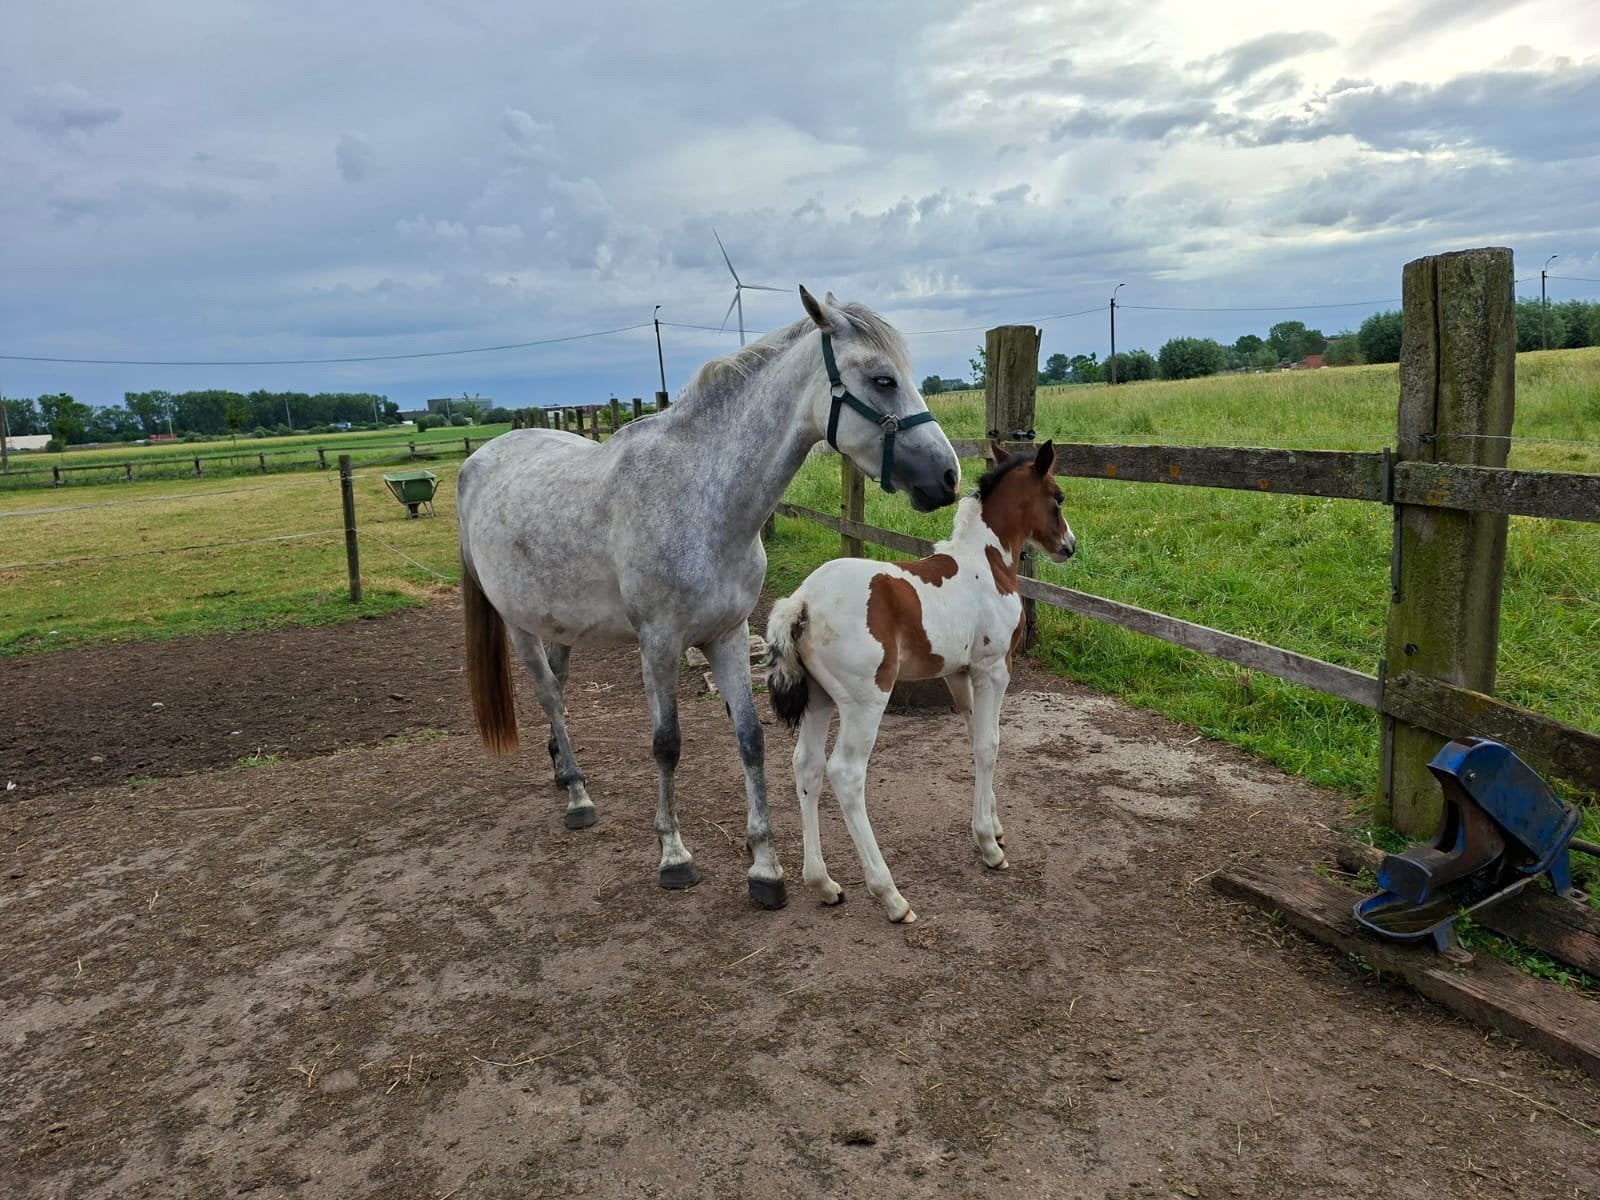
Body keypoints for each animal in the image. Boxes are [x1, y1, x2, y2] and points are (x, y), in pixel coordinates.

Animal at [456, 286, 961, 908]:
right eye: (883, 379)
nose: (948, 476)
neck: (702, 498)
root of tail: (478, 461)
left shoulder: (727, 635)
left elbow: (750, 739)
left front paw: (765, 866)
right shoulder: (659, 643)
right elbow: (667, 744)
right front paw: (674, 854)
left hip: (559, 623)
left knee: (561, 688)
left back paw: (560, 769)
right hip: (518, 624)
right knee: (550, 695)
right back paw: (577, 795)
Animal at [764, 440, 1075, 922]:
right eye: (1057, 497)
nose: (1069, 546)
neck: (986, 562)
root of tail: (802, 601)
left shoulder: (959, 674)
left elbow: (976, 738)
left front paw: (996, 826)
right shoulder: (994, 668)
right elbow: (990, 745)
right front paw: (988, 845)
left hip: (818, 699)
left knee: (807, 766)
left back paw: (823, 883)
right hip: (865, 701)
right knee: (845, 773)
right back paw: (890, 895)